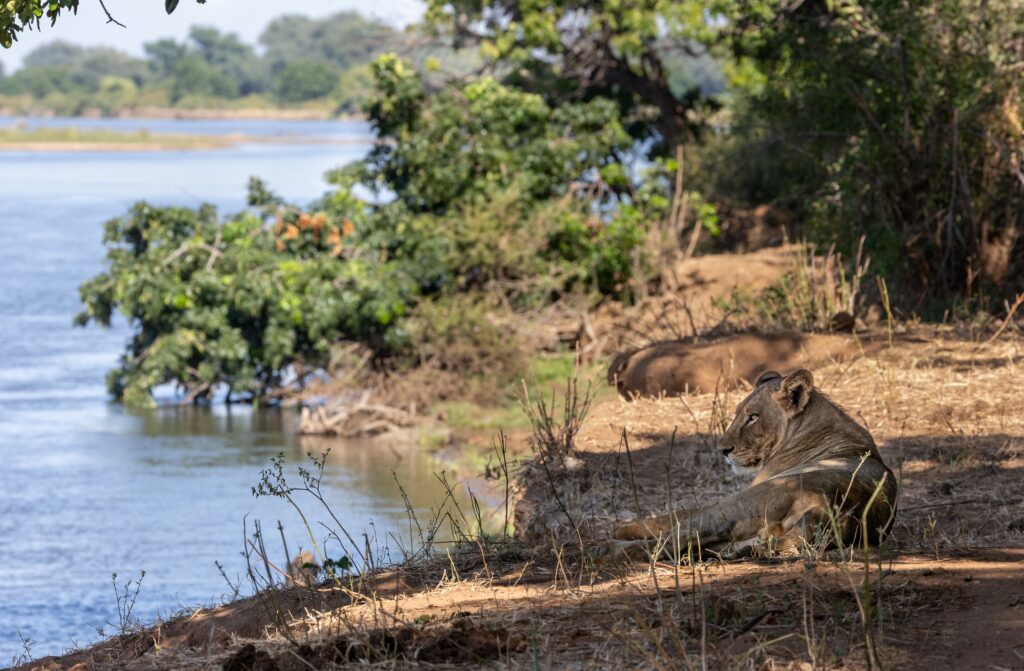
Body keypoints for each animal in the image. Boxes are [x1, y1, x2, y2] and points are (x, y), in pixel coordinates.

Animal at [612, 368, 897, 558]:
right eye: (738, 413)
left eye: (753, 417)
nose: (723, 450)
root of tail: (829, 510)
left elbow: (675, 514)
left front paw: (622, 528)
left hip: (739, 504)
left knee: (673, 538)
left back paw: (613, 551)